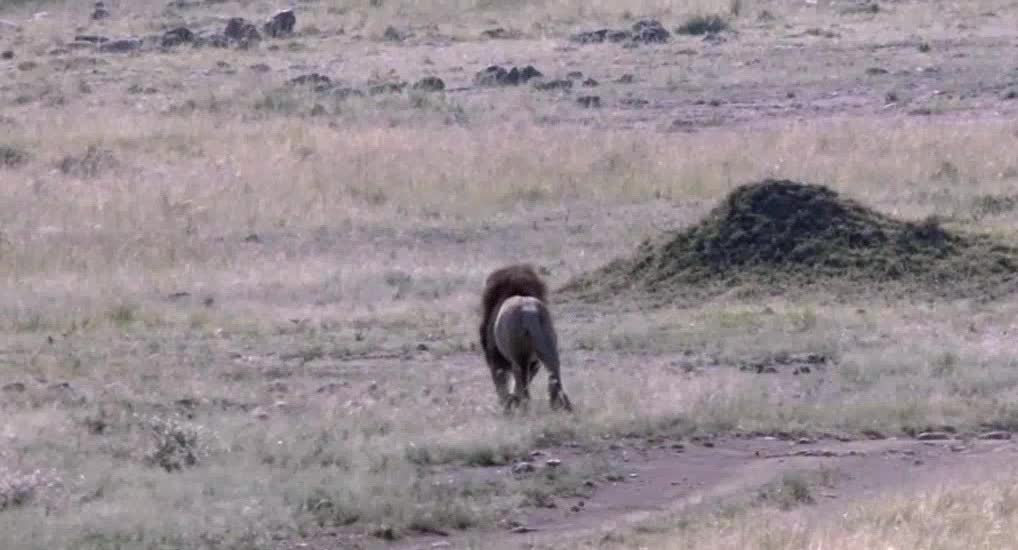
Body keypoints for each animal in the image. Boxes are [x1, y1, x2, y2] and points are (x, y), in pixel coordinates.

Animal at [478, 262, 574, 411]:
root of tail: (529, 312)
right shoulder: (535, 363)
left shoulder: (496, 358)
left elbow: (502, 385)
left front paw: (507, 405)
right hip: (548, 347)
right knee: (553, 375)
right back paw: (560, 406)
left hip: (519, 357)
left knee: (523, 386)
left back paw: (522, 407)